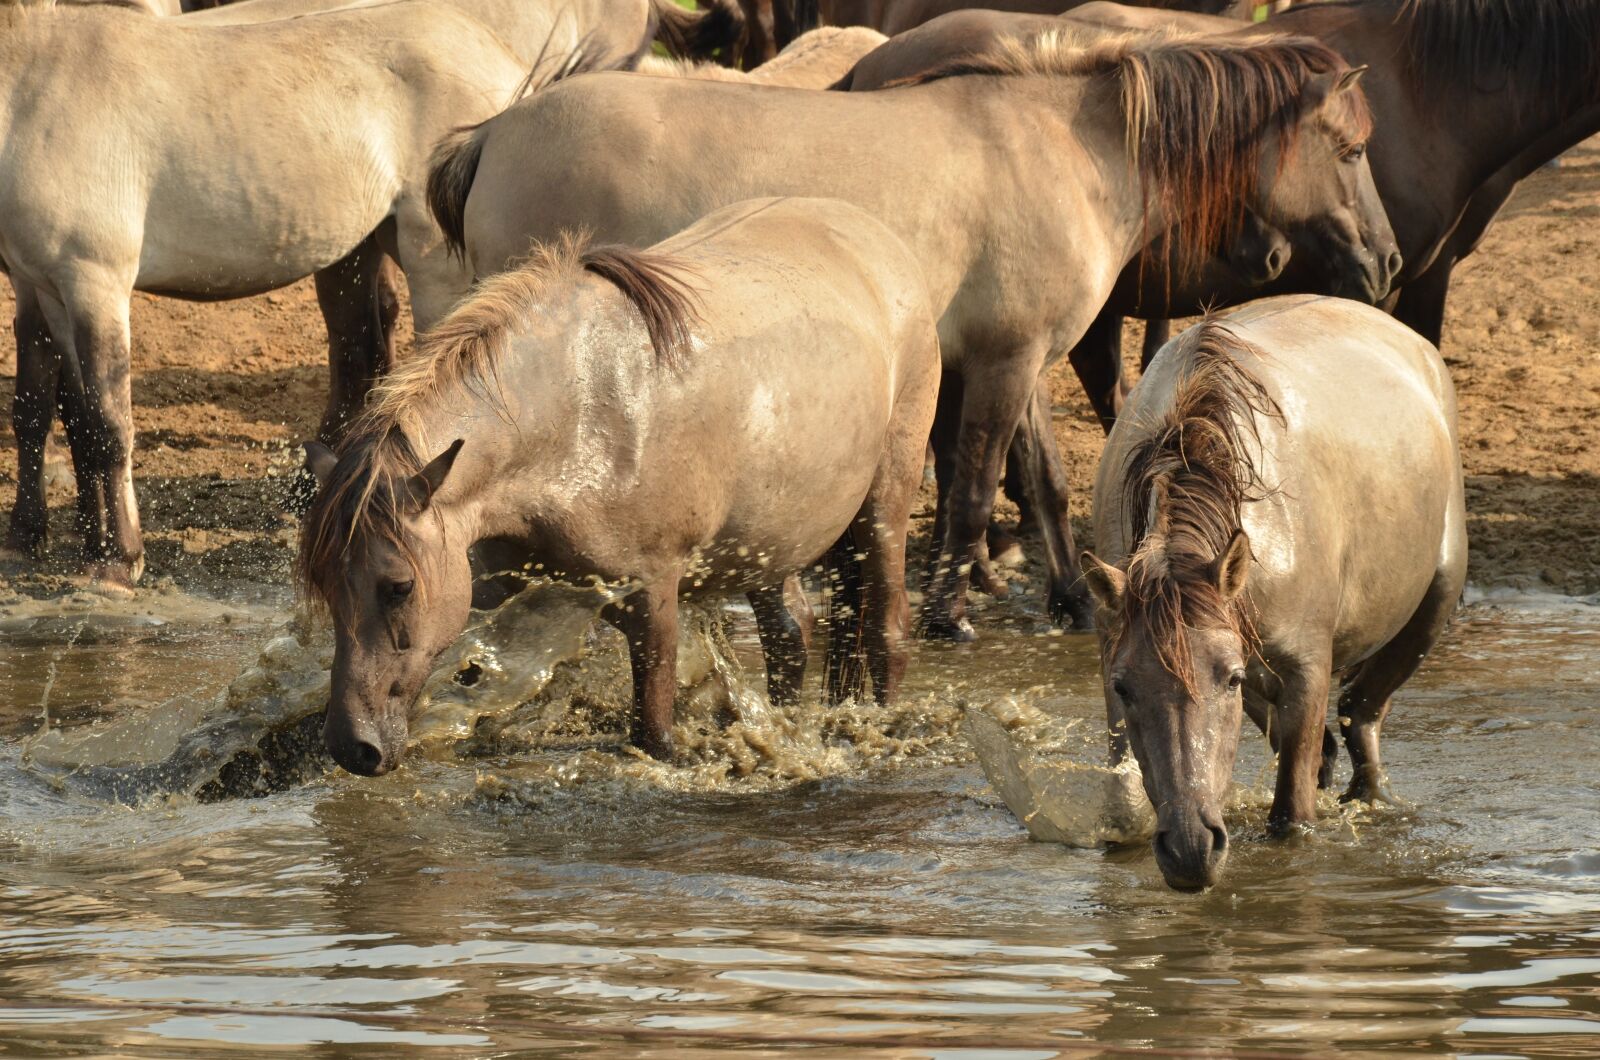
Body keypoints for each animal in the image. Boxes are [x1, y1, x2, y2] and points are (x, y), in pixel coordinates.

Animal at [0, 0, 630, 587]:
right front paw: (79, 547)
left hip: (434, 266)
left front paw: (120, 562)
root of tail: (506, 74)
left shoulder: (96, 283)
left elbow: (110, 426)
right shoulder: (48, 289)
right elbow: (69, 415)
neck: (35, 88)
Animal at [298, 197, 941, 773]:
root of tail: (882, 243)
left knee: (886, 629)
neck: (576, 417)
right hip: (769, 542)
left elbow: (654, 734)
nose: (352, 748)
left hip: (885, 503)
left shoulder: (652, 594)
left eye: (399, 587)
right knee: (791, 637)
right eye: (324, 584)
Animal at [428, 31, 1396, 640]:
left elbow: (1043, 484)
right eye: (1349, 151)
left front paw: (1075, 601)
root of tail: (493, 132)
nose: (1385, 263)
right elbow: (972, 492)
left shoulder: (1021, 359)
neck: (1068, 153)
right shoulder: (1004, 364)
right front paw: (950, 614)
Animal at [1080, 296, 1466, 892]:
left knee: (1362, 712)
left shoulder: (1304, 668)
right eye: (1125, 687)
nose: (1191, 848)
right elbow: (1123, 802)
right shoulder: (1112, 652)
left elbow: (1292, 817)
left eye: (1229, 679)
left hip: (1436, 600)